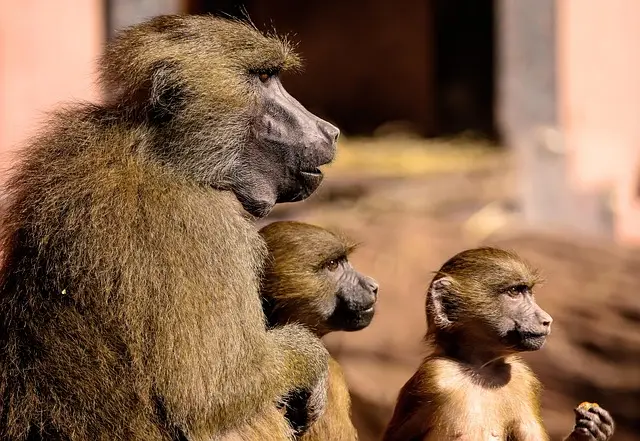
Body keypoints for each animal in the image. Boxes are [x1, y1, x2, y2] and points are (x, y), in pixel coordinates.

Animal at [0, 14, 341, 441]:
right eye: (263, 77)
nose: (331, 132)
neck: (165, 153)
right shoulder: (206, 226)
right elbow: (214, 390)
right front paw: (316, 363)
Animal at [381, 247, 615, 441]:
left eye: (528, 292)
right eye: (514, 291)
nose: (547, 320)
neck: (480, 368)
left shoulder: (523, 379)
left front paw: (592, 430)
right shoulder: (436, 376)